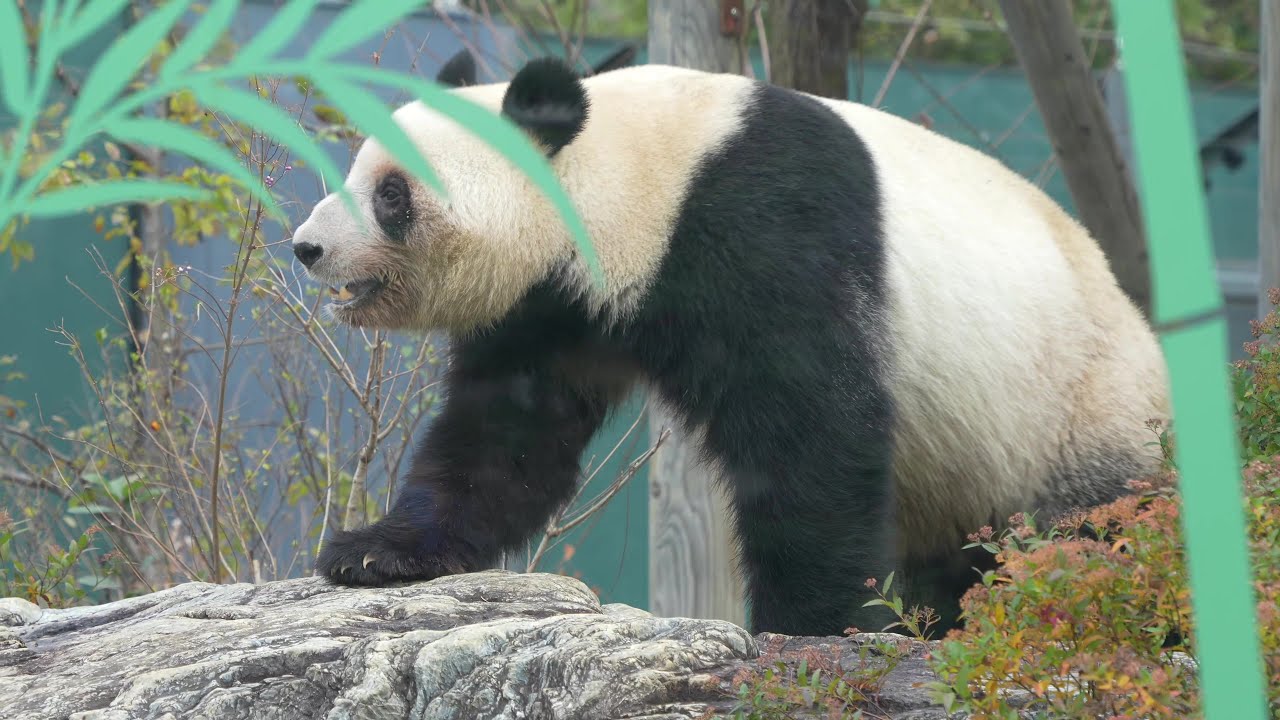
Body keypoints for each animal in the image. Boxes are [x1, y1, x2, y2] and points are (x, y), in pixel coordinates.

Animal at [290, 50, 1170, 639]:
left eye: (391, 194)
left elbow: (815, 434)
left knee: (1100, 534)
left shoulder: (765, 228)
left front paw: (812, 624)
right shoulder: (560, 304)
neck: (633, 177)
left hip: (1078, 415)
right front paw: (375, 553)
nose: (306, 247)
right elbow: (505, 436)